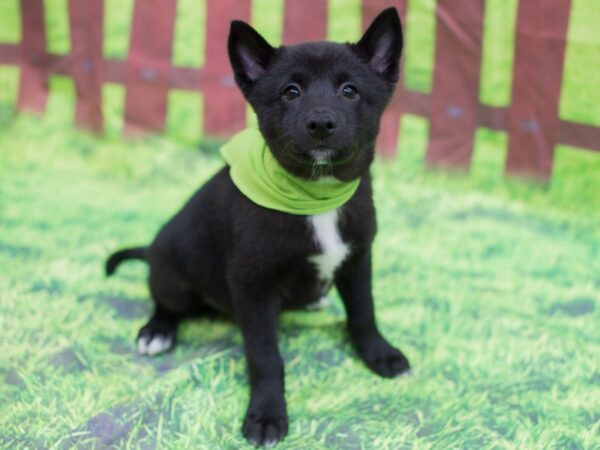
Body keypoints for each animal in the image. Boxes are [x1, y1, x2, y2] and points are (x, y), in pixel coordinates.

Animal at [106, 7, 408, 446]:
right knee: (165, 301)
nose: (320, 123)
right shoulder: (253, 286)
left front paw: (380, 354)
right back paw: (156, 331)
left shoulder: (357, 259)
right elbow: (266, 357)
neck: (315, 195)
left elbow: (364, 312)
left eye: (350, 90)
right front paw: (266, 415)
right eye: (290, 92)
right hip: (175, 279)